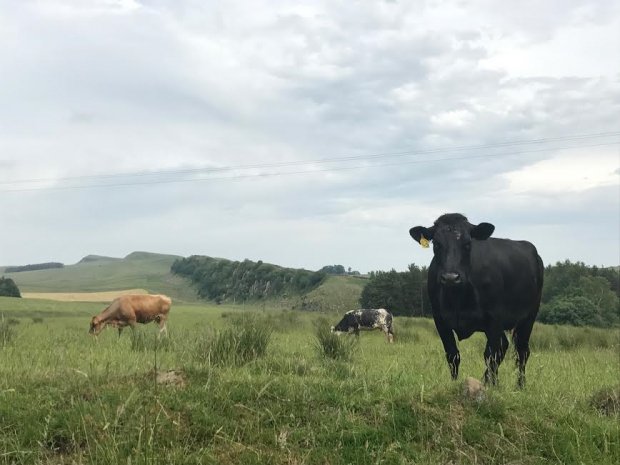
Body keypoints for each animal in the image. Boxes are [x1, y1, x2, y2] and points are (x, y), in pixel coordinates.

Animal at [412, 214, 544, 388]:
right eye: (437, 244)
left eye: (467, 243)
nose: (450, 278)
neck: (458, 299)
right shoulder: (439, 319)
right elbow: (452, 354)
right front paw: (455, 383)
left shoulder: (495, 317)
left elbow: (491, 355)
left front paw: (490, 387)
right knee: (505, 346)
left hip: (529, 317)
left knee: (521, 352)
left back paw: (519, 385)